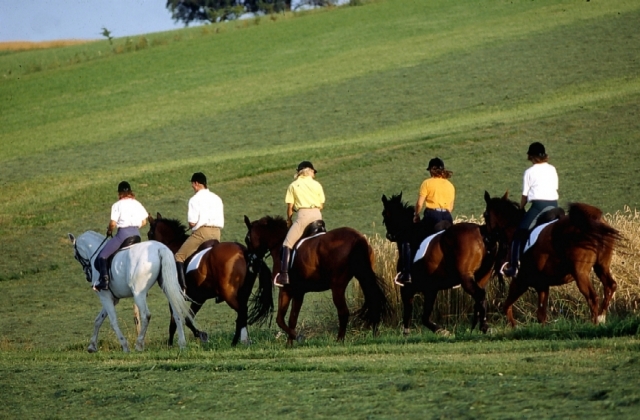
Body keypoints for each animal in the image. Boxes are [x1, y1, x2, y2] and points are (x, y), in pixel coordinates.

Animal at [148, 213, 272, 348]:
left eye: (149, 234)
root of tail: (243, 251)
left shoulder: (174, 295)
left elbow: (176, 320)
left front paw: (172, 344)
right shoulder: (198, 298)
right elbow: (188, 318)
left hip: (228, 294)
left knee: (242, 312)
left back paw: (235, 342)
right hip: (243, 292)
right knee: (242, 314)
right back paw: (243, 341)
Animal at [242, 215, 388, 346]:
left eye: (247, 238)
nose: (251, 263)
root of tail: (357, 237)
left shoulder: (287, 290)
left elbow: (281, 319)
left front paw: (296, 338)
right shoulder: (299, 292)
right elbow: (292, 318)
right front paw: (290, 343)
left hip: (337, 286)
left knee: (343, 312)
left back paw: (340, 340)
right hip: (364, 277)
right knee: (373, 300)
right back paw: (375, 334)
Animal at [380, 194, 500, 334]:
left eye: (384, 213)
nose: (389, 236)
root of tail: (481, 230)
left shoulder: (407, 288)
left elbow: (410, 313)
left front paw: (407, 332)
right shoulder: (431, 288)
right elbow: (425, 316)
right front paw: (441, 330)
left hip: (466, 278)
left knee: (479, 295)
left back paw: (483, 326)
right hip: (482, 277)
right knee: (480, 298)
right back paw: (478, 325)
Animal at [482, 192, 624, 326]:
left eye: (485, 215)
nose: (486, 238)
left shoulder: (521, 281)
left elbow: (506, 306)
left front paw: (514, 328)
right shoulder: (542, 285)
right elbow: (541, 316)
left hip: (580, 273)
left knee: (593, 297)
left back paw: (594, 323)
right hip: (601, 265)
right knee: (610, 286)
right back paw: (601, 317)